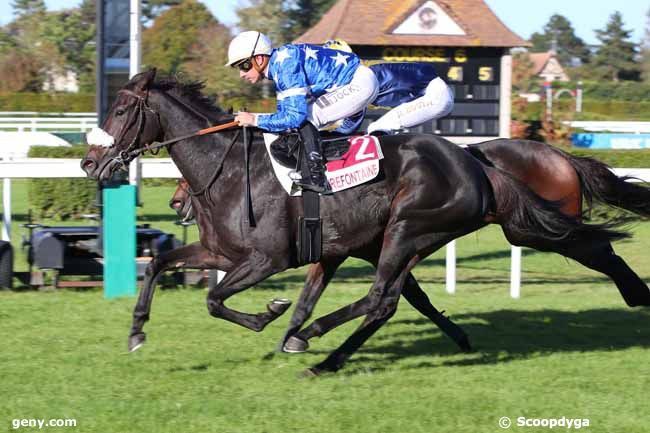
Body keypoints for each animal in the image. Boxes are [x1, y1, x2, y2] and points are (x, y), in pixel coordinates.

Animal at [83, 69, 644, 372]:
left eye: (121, 111)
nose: (90, 163)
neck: (230, 170)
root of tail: (474, 163)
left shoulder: (268, 258)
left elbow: (216, 299)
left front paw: (270, 316)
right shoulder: (224, 251)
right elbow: (161, 266)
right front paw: (136, 333)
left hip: (413, 228)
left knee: (381, 300)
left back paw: (320, 351)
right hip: (436, 233)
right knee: (390, 299)